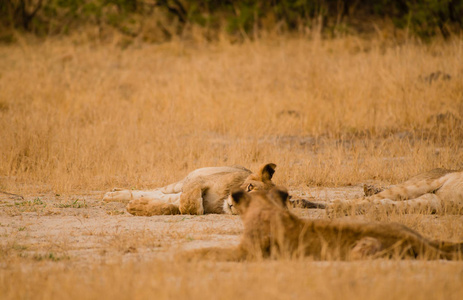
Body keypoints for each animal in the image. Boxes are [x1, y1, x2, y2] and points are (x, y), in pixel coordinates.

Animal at [104, 164, 278, 216]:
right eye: (250, 187)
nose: (233, 204)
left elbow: (183, 207)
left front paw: (138, 206)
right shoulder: (199, 179)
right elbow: (191, 203)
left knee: (158, 194)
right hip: (180, 182)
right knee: (157, 190)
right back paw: (110, 194)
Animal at [185, 188, 463, 260]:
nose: (229, 201)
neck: (268, 207)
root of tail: (412, 238)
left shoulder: (248, 252)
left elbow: (210, 250)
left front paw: (184, 257)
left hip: (361, 250)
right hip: (411, 230)